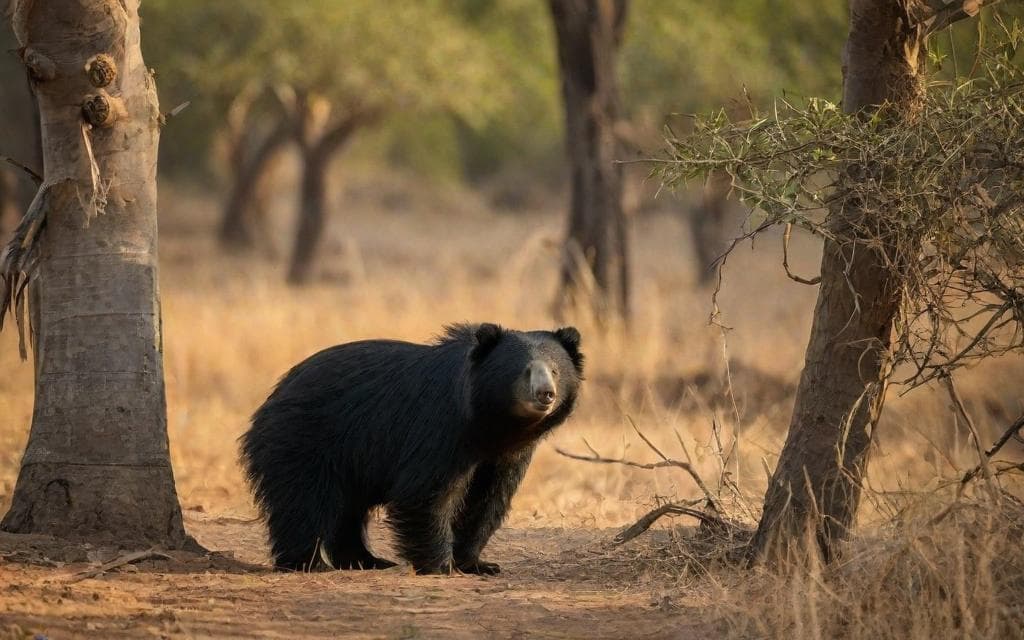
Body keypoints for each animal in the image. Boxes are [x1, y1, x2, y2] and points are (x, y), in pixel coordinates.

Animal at [239, 323, 584, 575]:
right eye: (523, 370)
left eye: (555, 370)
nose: (546, 394)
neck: (494, 426)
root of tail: (271, 398)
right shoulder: (440, 429)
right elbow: (426, 492)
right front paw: (441, 566)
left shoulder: (505, 457)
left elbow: (486, 502)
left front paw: (479, 564)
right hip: (304, 440)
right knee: (303, 501)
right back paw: (310, 564)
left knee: (346, 511)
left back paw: (367, 560)